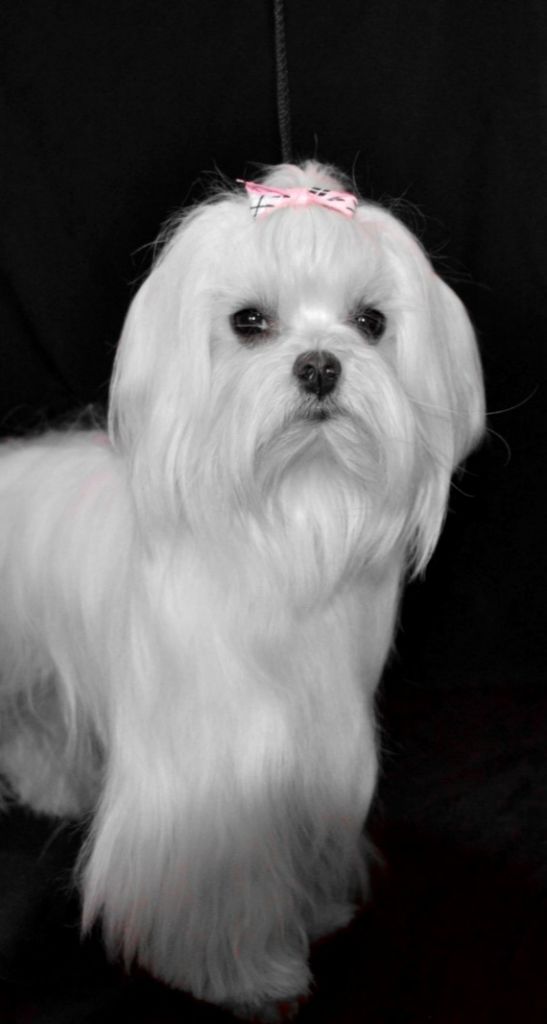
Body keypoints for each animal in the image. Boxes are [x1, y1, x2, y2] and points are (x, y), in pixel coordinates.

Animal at [0, 161, 484, 1020]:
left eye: (370, 322)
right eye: (249, 322)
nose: (320, 365)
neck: (287, 516)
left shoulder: (316, 754)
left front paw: (315, 911)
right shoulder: (210, 772)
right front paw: (249, 976)